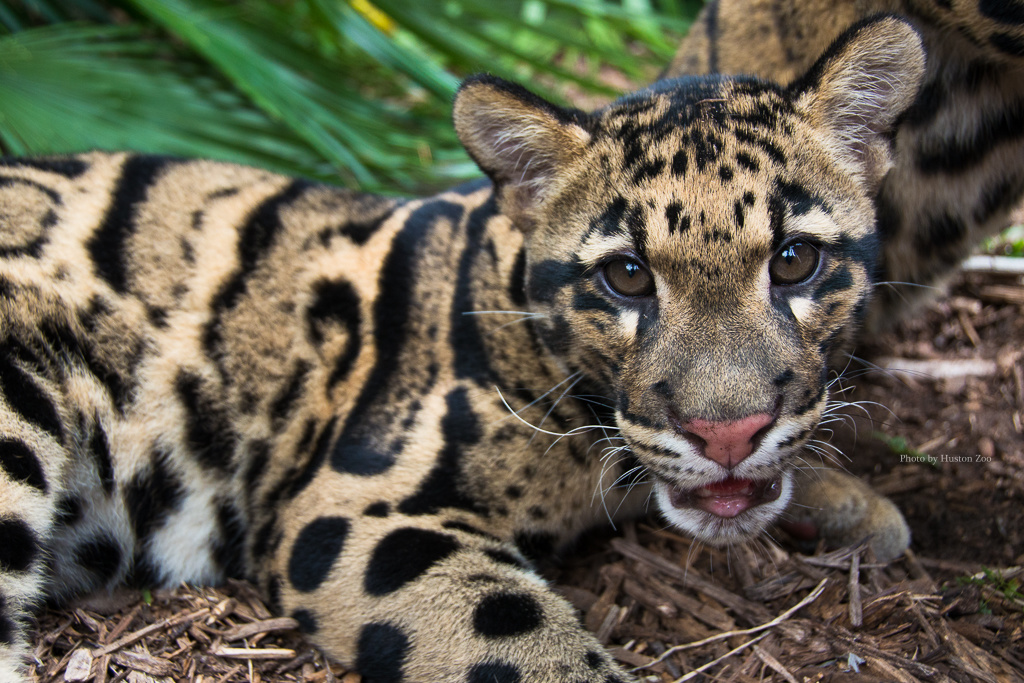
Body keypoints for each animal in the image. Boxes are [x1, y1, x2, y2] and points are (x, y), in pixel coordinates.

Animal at [0, 16, 924, 683]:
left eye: (794, 260)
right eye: (626, 276)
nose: (726, 432)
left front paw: (850, 502)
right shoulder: (356, 505)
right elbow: (528, 645)